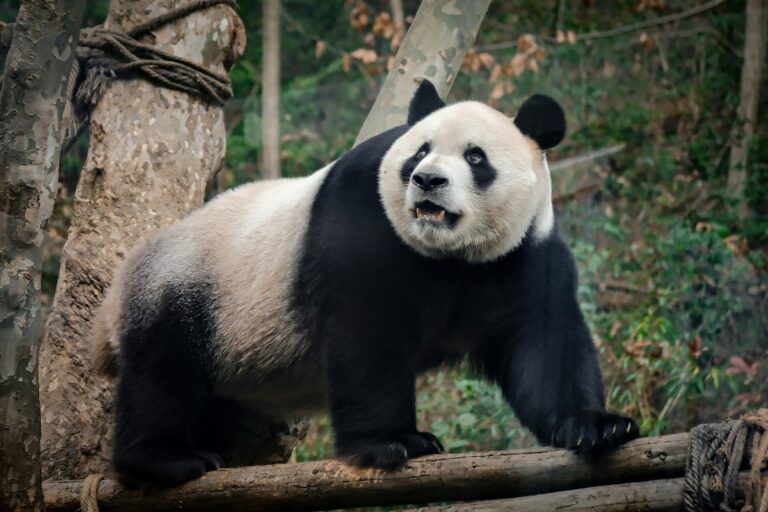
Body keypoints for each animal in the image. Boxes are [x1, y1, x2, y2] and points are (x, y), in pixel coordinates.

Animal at [91, 79, 639, 487]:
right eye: (419, 152)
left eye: (476, 158)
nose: (427, 181)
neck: (449, 254)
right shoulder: (362, 216)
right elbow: (365, 332)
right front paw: (395, 441)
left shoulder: (523, 254)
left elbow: (543, 344)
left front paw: (596, 426)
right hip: (191, 287)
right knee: (163, 371)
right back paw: (167, 459)